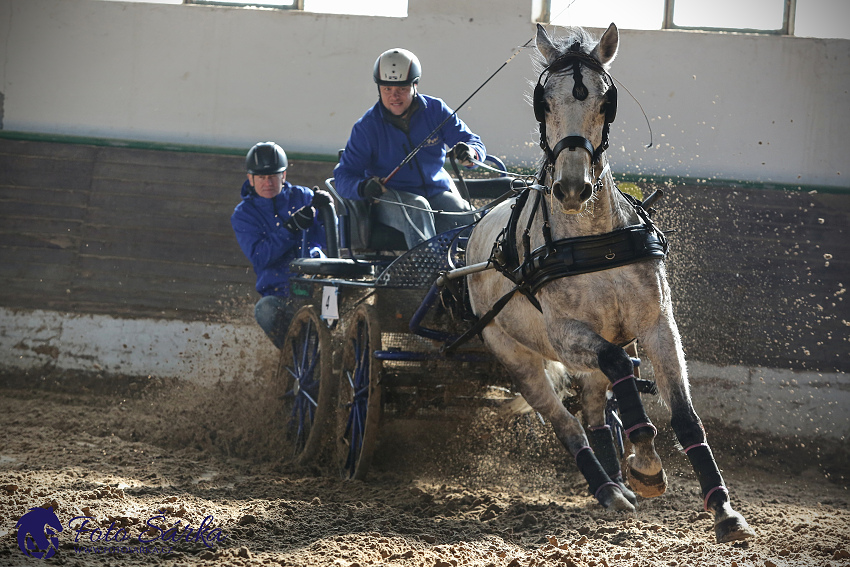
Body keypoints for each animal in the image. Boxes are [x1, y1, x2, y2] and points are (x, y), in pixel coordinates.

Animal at [464, 23, 756, 544]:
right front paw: (646, 460)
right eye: (544, 103)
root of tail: (476, 231)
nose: (572, 187)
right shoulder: (567, 333)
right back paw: (608, 488)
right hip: (516, 353)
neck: (594, 239)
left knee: (596, 410)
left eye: (605, 101)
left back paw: (618, 479)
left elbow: (685, 416)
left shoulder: (658, 325)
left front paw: (722, 508)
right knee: (567, 423)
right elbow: (620, 365)